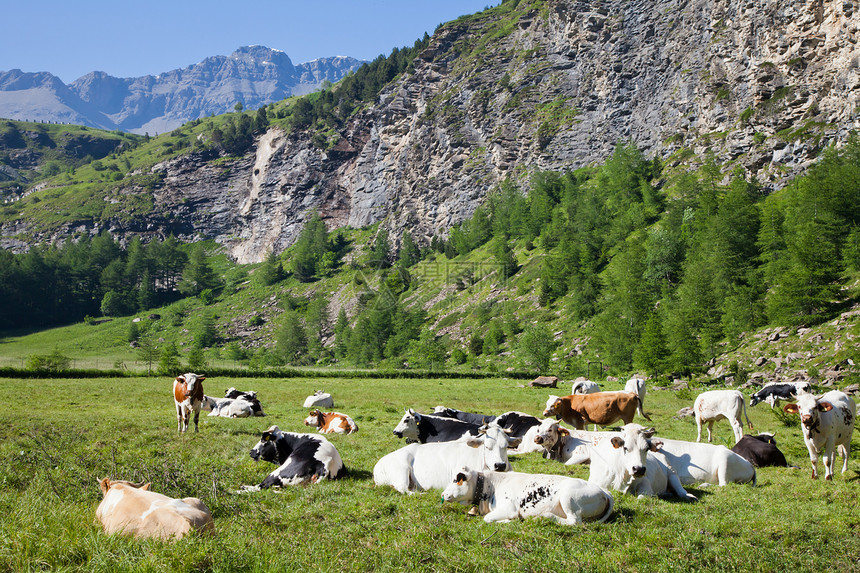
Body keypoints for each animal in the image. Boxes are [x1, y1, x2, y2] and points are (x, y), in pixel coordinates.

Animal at [372, 422, 520, 494]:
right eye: (487, 446)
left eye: (505, 446)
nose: (500, 465)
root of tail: (378, 465)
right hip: (401, 470)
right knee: (403, 489)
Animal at [440, 466, 616, 524]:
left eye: (456, 480)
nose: (443, 494)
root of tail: (604, 491)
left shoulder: (509, 508)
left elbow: (488, 518)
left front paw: (508, 521)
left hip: (568, 498)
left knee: (574, 521)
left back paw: (545, 517)